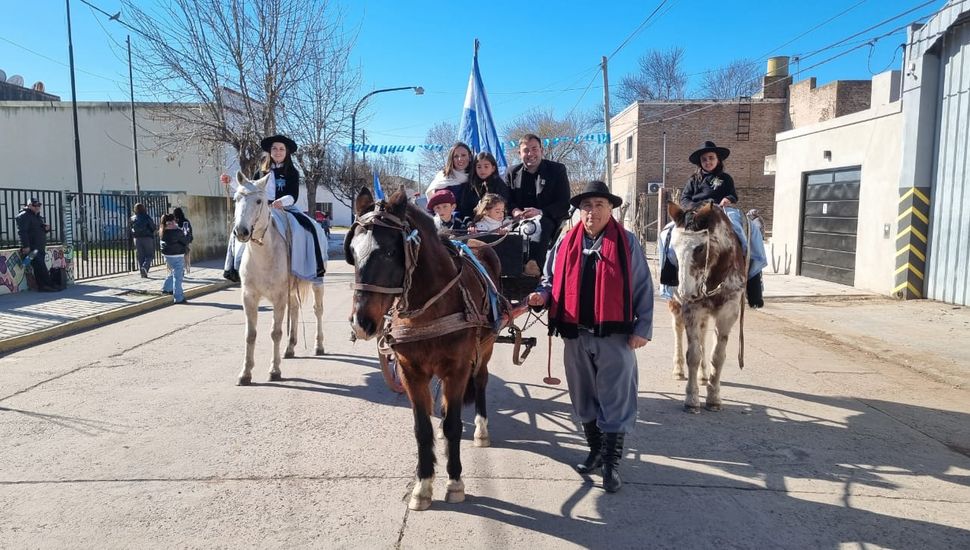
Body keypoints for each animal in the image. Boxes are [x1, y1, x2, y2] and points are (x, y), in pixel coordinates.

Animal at [231, 175, 326, 386]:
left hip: (317, 283)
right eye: (236, 199)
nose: (241, 231)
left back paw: (319, 346)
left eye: (259, 201)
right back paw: (290, 348)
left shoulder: (279, 297)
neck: (263, 254)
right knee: (295, 311)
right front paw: (245, 373)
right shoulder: (249, 297)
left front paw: (274, 370)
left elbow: (275, 333)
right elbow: (250, 335)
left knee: (318, 311)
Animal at [346, 188, 500, 512]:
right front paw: (423, 485)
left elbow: (454, 425)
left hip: (486, 346)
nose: (361, 323)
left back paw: (481, 429)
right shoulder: (410, 372)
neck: (430, 308)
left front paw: (454, 482)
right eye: (352, 252)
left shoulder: (457, 369)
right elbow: (422, 429)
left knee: (480, 380)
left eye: (389, 252)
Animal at [660, 203, 744, 414]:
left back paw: (704, 375)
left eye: (700, 248)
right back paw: (678, 369)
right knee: (678, 329)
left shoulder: (727, 313)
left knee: (704, 333)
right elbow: (693, 355)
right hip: (677, 306)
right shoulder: (691, 310)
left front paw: (714, 398)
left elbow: (718, 356)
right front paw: (691, 399)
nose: (686, 292)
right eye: (673, 248)